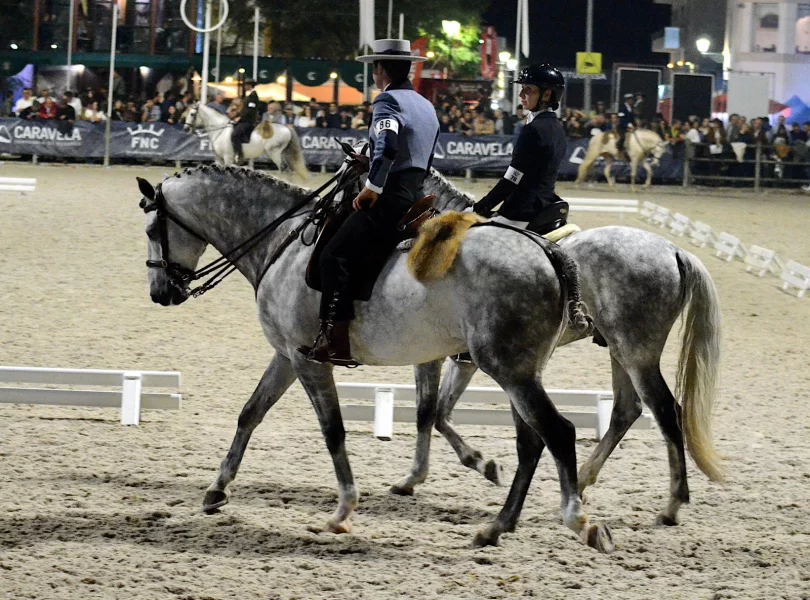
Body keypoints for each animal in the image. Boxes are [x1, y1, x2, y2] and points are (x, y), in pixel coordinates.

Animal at [134, 165, 612, 552]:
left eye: (151, 230)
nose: (161, 292)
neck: (282, 244)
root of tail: (547, 251)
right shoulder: (287, 355)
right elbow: (250, 413)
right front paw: (217, 489)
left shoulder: (310, 361)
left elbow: (334, 431)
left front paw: (343, 512)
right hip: (520, 371)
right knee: (532, 440)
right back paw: (494, 528)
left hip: (509, 368)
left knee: (558, 431)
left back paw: (581, 522)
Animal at [398, 171, 724, 528]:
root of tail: (674, 250)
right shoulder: (466, 361)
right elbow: (442, 413)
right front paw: (484, 465)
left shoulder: (435, 355)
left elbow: (427, 412)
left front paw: (414, 478)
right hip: (619, 350)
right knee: (626, 410)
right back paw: (579, 484)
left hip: (638, 352)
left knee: (665, 410)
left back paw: (670, 506)